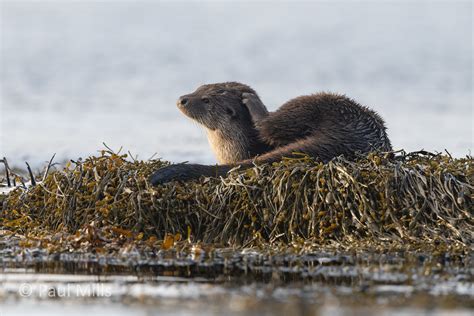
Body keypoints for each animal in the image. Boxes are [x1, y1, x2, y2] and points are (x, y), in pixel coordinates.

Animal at [150, 82, 390, 185]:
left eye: (206, 100)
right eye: (200, 87)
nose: (182, 99)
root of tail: (346, 137)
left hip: (314, 102)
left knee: (270, 124)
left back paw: (253, 103)